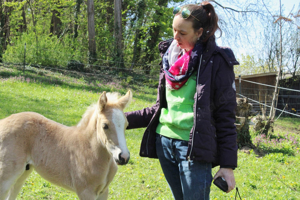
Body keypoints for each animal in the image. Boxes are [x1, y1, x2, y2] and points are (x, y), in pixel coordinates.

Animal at [0, 90, 132, 200]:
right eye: (105, 125)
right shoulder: (86, 192)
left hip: (23, 174)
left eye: (126, 125)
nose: (123, 157)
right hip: (7, 175)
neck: (89, 149)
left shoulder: (103, 192)